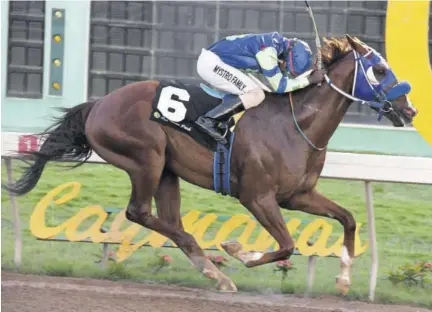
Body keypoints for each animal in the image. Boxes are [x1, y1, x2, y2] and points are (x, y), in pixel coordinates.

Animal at [2, 34, 416, 294]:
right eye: (380, 70)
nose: (409, 109)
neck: (296, 123)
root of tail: (97, 104)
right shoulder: (256, 197)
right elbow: (286, 245)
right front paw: (238, 250)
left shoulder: (297, 195)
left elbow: (348, 218)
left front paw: (344, 280)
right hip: (145, 157)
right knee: (140, 213)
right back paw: (214, 268)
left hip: (167, 171)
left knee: (168, 221)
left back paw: (212, 272)